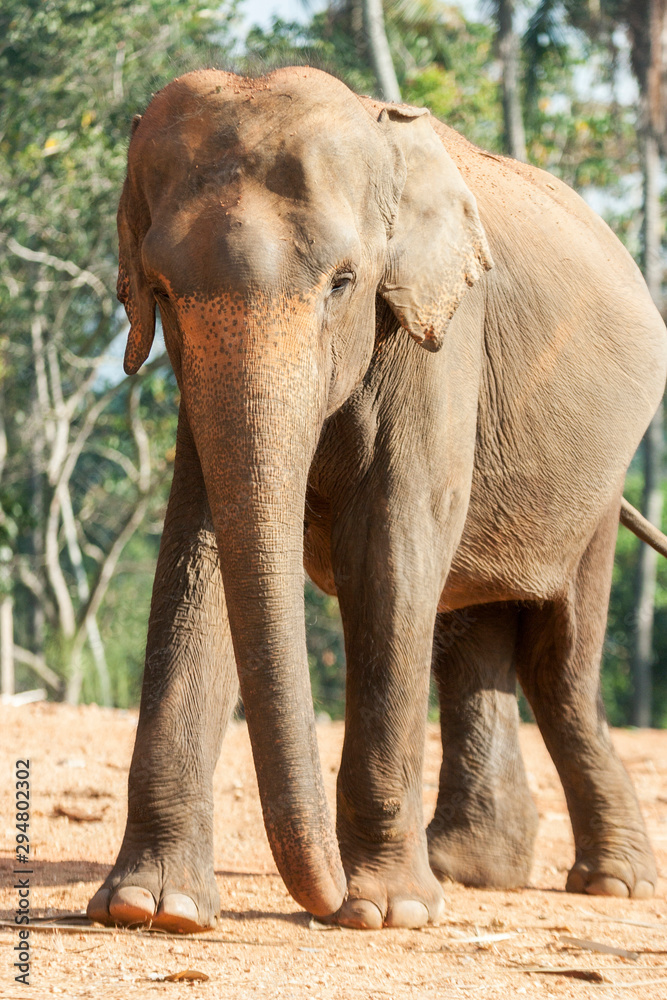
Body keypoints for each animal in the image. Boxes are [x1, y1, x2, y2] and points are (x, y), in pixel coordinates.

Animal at [88, 66, 667, 933]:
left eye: (343, 283)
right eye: (159, 290)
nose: (321, 897)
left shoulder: (439, 333)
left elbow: (390, 548)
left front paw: (384, 912)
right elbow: (199, 552)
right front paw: (154, 908)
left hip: (598, 483)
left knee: (558, 665)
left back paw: (610, 884)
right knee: (471, 637)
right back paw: (469, 868)